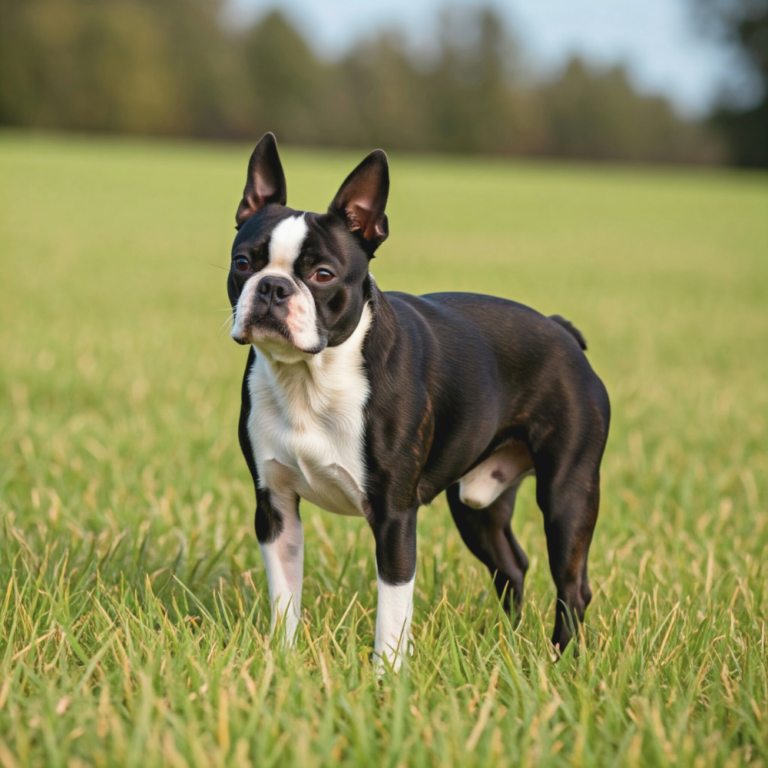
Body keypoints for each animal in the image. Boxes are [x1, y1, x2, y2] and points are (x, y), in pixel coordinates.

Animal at [228, 134, 612, 672]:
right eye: (243, 263)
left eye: (323, 274)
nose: (272, 286)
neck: (311, 378)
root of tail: (563, 331)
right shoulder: (275, 507)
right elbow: (285, 597)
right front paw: (280, 662)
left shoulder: (394, 516)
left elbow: (392, 608)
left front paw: (386, 676)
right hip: (475, 504)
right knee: (512, 564)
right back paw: (508, 638)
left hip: (568, 494)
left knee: (573, 584)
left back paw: (559, 660)